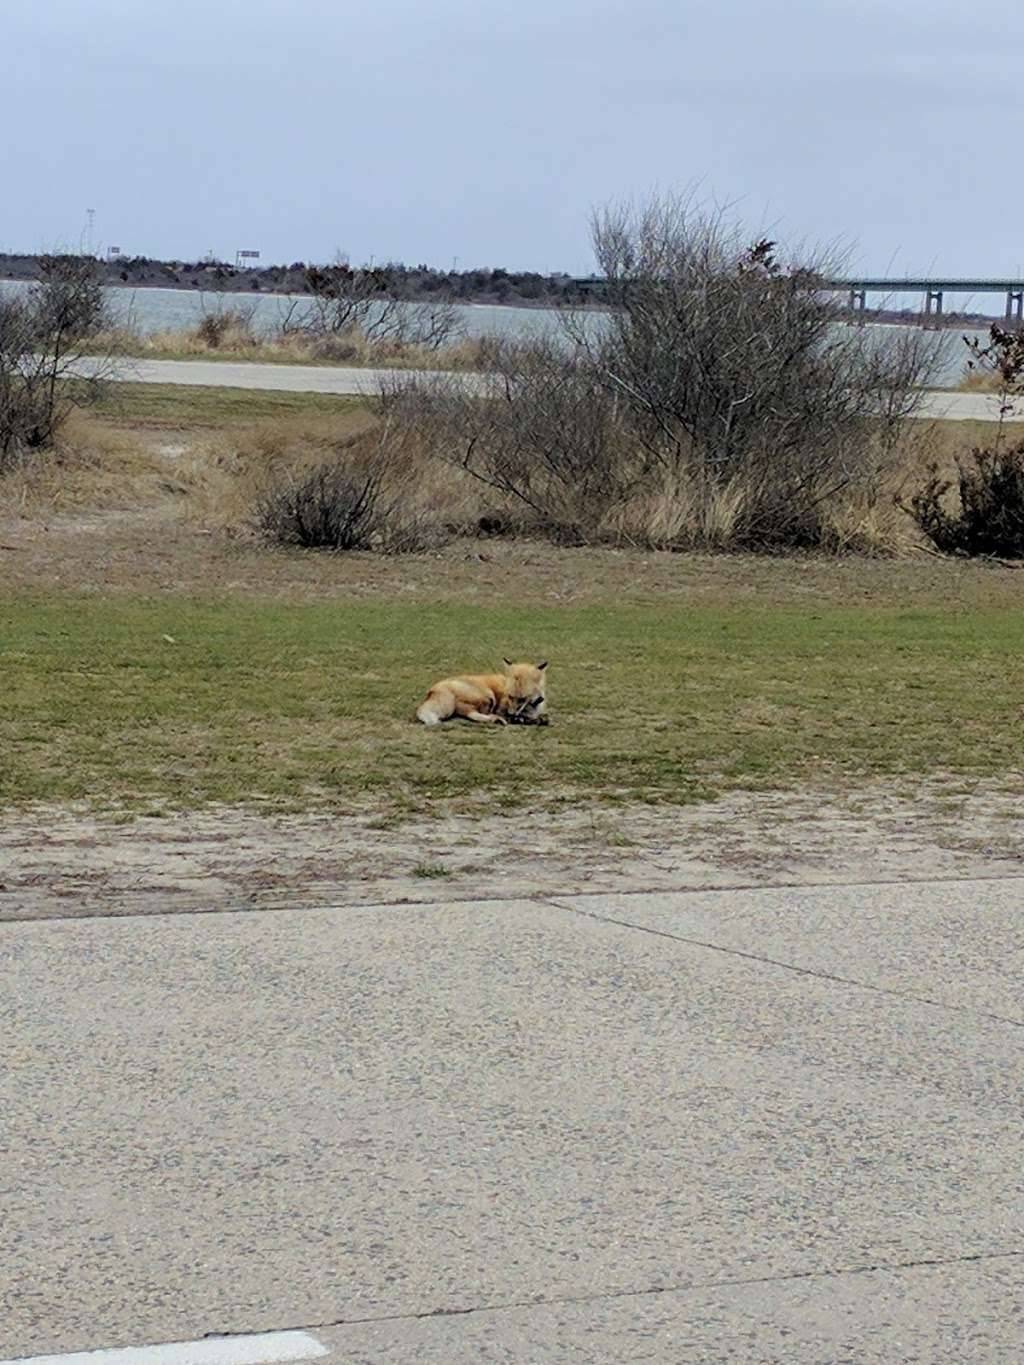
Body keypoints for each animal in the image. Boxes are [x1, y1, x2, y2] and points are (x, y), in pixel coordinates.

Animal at [415, 657, 548, 726]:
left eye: (522, 699)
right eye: (510, 697)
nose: (510, 714)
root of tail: (433, 690)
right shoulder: (501, 708)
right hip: (488, 697)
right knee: (481, 714)